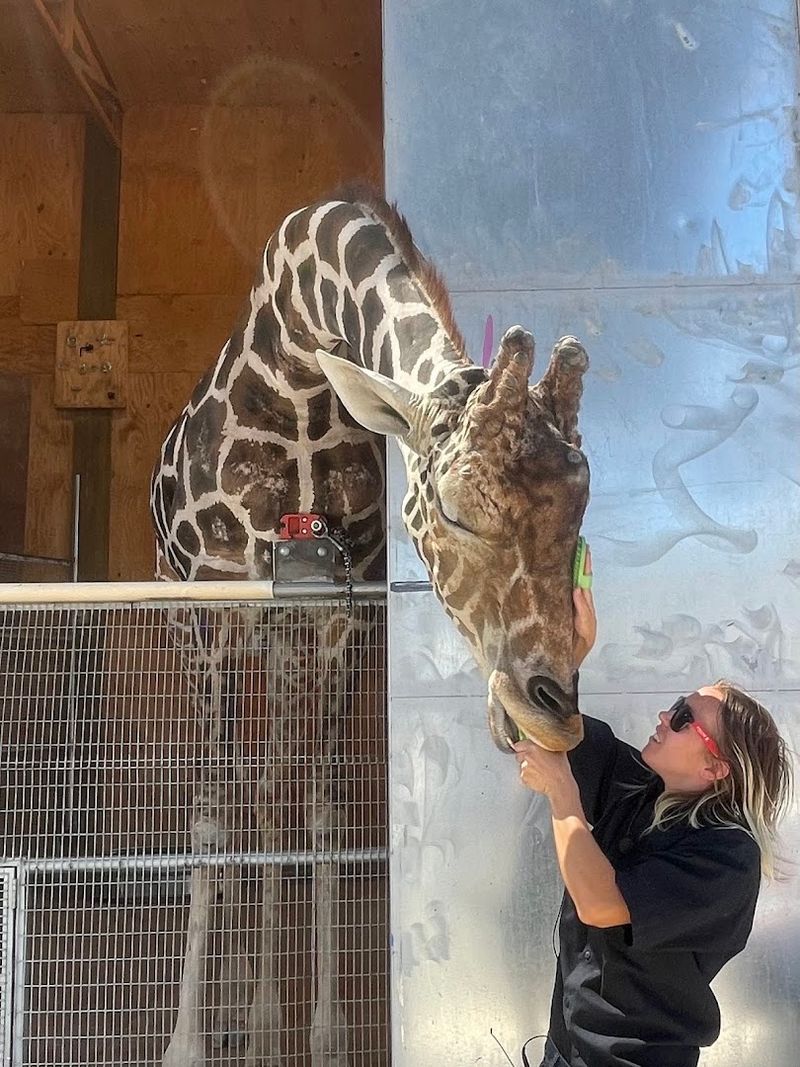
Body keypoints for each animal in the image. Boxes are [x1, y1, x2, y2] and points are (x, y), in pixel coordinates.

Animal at [150, 186, 590, 1065]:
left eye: (581, 511)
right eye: (454, 508)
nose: (549, 708)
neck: (298, 379)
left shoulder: (340, 613)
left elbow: (322, 806)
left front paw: (321, 1031)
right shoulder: (219, 609)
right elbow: (208, 807)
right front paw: (184, 1041)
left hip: (283, 644)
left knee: (271, 787)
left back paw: (259, 1013)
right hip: (186, 619)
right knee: (235, 788)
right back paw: (230, 1008)